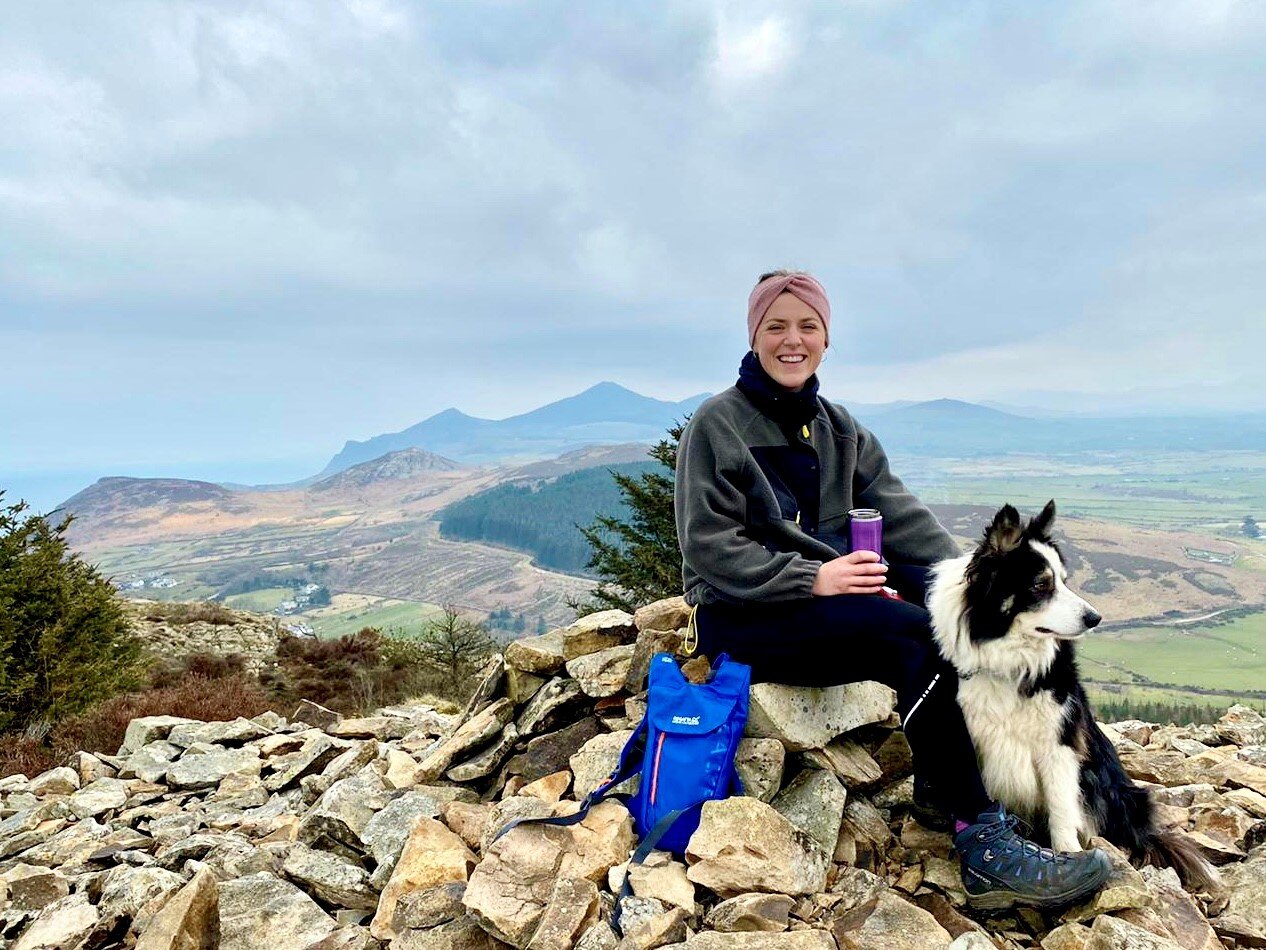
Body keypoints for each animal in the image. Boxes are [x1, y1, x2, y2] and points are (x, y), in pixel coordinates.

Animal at [931, 506, 1215, 891]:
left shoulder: (1060, 743)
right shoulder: (974, 739)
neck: (1010, 661)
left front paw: (1067, 856)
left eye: (1065, 580)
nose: (1095, 618)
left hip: (1111, 787)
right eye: (1041, 584)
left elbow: (1062, 809)